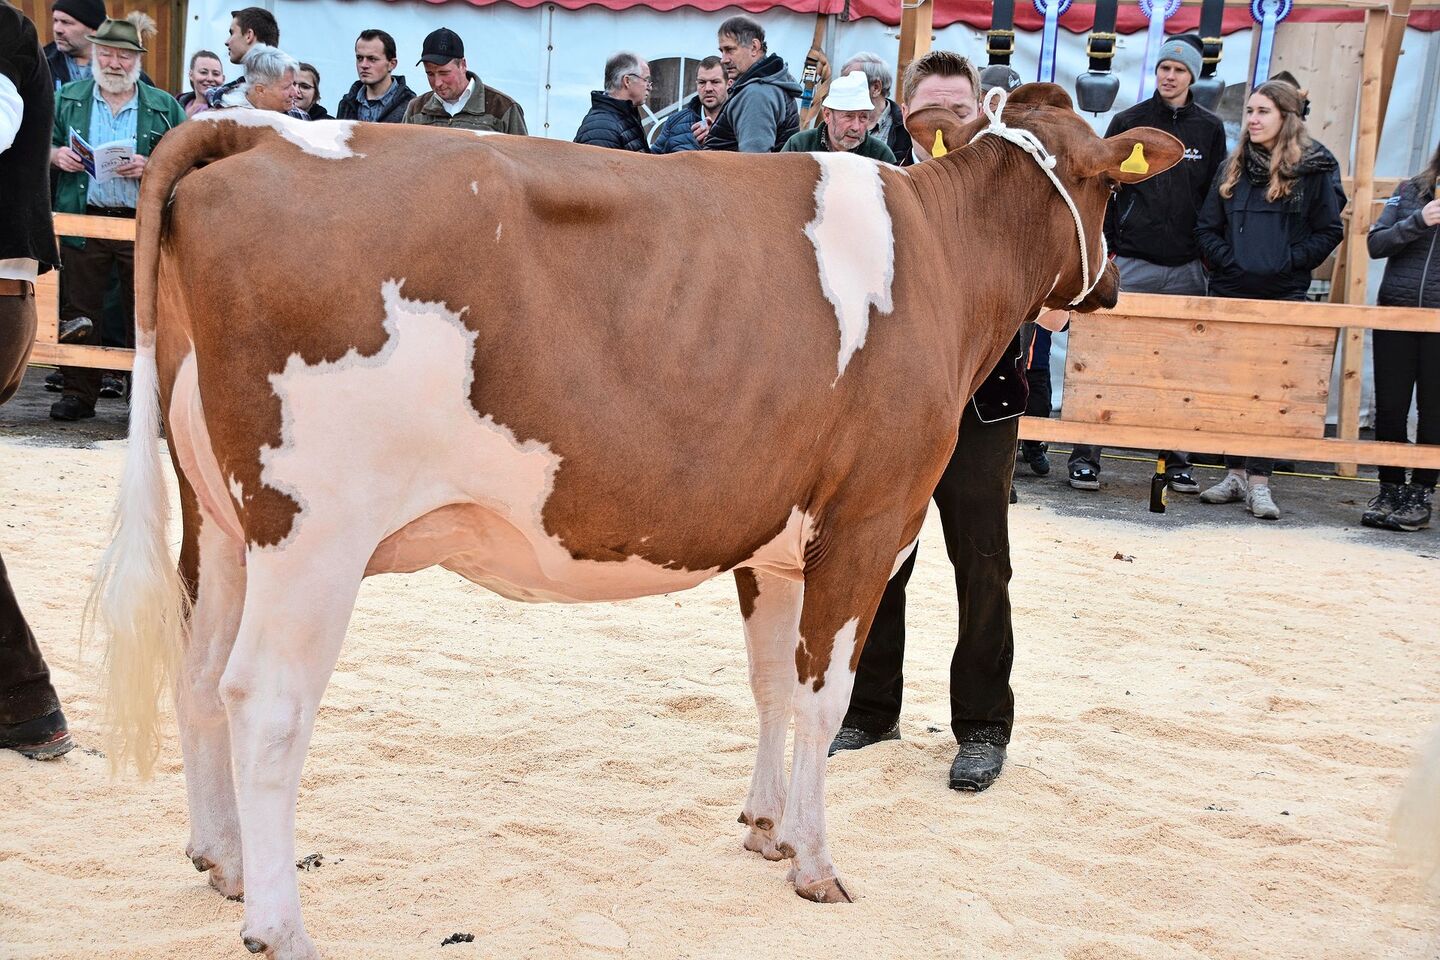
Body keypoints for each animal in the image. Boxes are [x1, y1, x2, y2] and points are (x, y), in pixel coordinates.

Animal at [95, 83, 1180, 958]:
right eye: (1109, 186)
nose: (1111, 283)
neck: (944, 262)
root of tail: (253, 130)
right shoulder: (869, 520)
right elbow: (821, 699)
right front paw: (815, 863)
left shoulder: (774, 542)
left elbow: (771, 687)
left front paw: (764, 828)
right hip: (313, 530)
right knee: (264, 701)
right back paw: (278, 924)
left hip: (221, 523)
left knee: (198, 674)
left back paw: (224, 862)